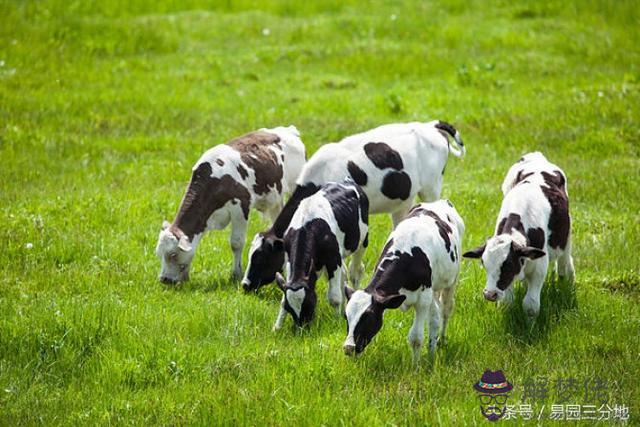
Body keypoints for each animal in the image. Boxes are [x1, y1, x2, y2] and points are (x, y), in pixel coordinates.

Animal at [154, 128, 304, 288]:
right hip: (276, 200)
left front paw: (236, 274)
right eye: (158, 253)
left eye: (173, 255)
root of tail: (287, 130)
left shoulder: (240, 207)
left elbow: (236, 243)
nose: (164, 279)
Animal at [272, 179, 370, 330]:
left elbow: (334, 297)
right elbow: (284, 297)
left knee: (355, 272)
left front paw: (336, 322)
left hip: (362, 241)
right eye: (290, 308)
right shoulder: (289, 260)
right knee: (344, 274)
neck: (307, 226)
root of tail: (347, 181)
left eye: (310, 304)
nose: (301, 330)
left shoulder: (333, 259)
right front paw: (277, 327)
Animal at [342, 200, 462, 362]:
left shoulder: (423, 300)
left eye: (369, 317)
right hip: (434, 289)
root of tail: (440, 202)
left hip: (452, 280)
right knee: (435, 317)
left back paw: (441, 340)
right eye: (346, 316)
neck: (407, 253)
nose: (349, 347)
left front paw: (415, 366)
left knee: (445, 310)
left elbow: (416, 337)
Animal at [460, 152, 576, 322]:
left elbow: (531, 305)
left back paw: (566, 281)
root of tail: (537, 157)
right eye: (484, 264)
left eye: (507, 265)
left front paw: (530, 326)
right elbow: (507, 302)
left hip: (565, 238)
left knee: (564, 262)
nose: (490, 294)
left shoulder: (539, 267)